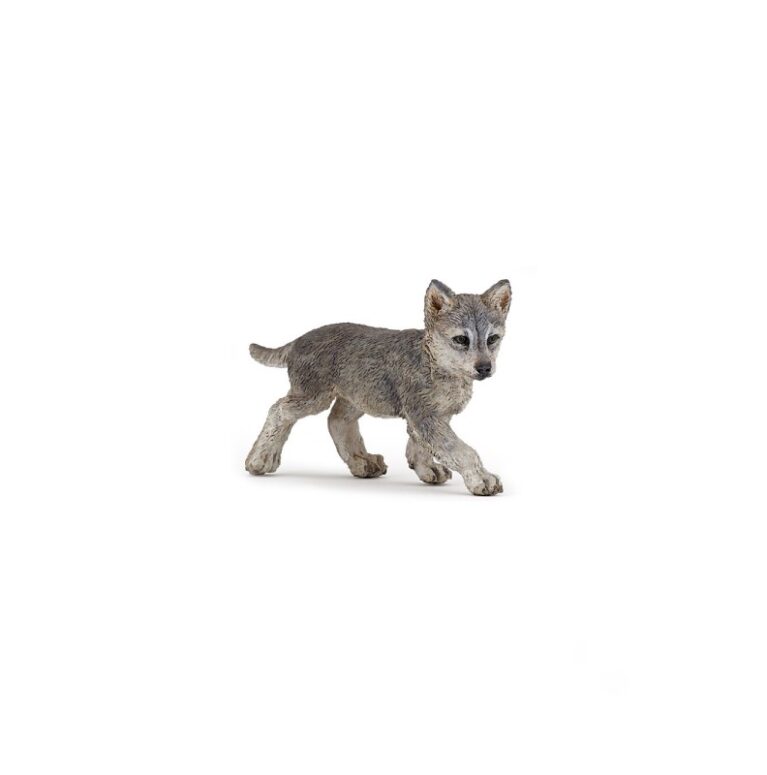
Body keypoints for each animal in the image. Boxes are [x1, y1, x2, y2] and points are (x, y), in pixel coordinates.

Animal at [245, 279, 511, 496]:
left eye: (492, 339)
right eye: (461, 339)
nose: (485, 368)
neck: (435, 362)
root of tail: (298, 340)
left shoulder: (432, 417)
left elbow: (420, 447)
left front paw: (427, 469)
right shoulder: (424, 415)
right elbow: (461, 450)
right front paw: (482, 479)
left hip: (356, 396)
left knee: (337, 421)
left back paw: (362, 461)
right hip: (314, 396)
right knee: (279, 410)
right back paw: (260, 459)